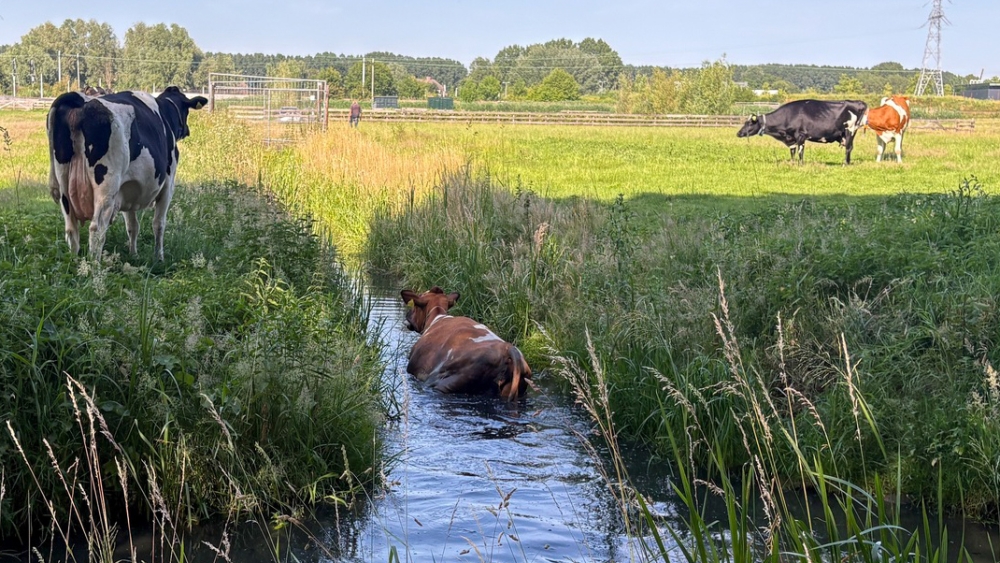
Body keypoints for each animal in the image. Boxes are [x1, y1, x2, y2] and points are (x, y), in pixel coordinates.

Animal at [47, 86, 208, 261]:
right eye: (186, 110)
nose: (187, 130)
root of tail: (79, 99)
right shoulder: (168, 185)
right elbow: (159, 224)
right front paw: (159, 258)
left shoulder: (128, 188)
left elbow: (132, 226)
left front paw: (133, 254)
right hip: (106, 187)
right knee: (97, 230)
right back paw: (94, 266)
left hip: (64, 186)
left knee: (71, 230)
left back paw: (75, 262)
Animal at [737, 99, 869, 164]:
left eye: (749, 123)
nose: (738, 133)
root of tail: (858, 102)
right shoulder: (791, 139)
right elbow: (793, 151)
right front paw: (792, 163)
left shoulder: (800, 135)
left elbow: (800, 152)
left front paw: (800, 165)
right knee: (849, 147)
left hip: (850, 130)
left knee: (848, 147)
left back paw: (845, 164)